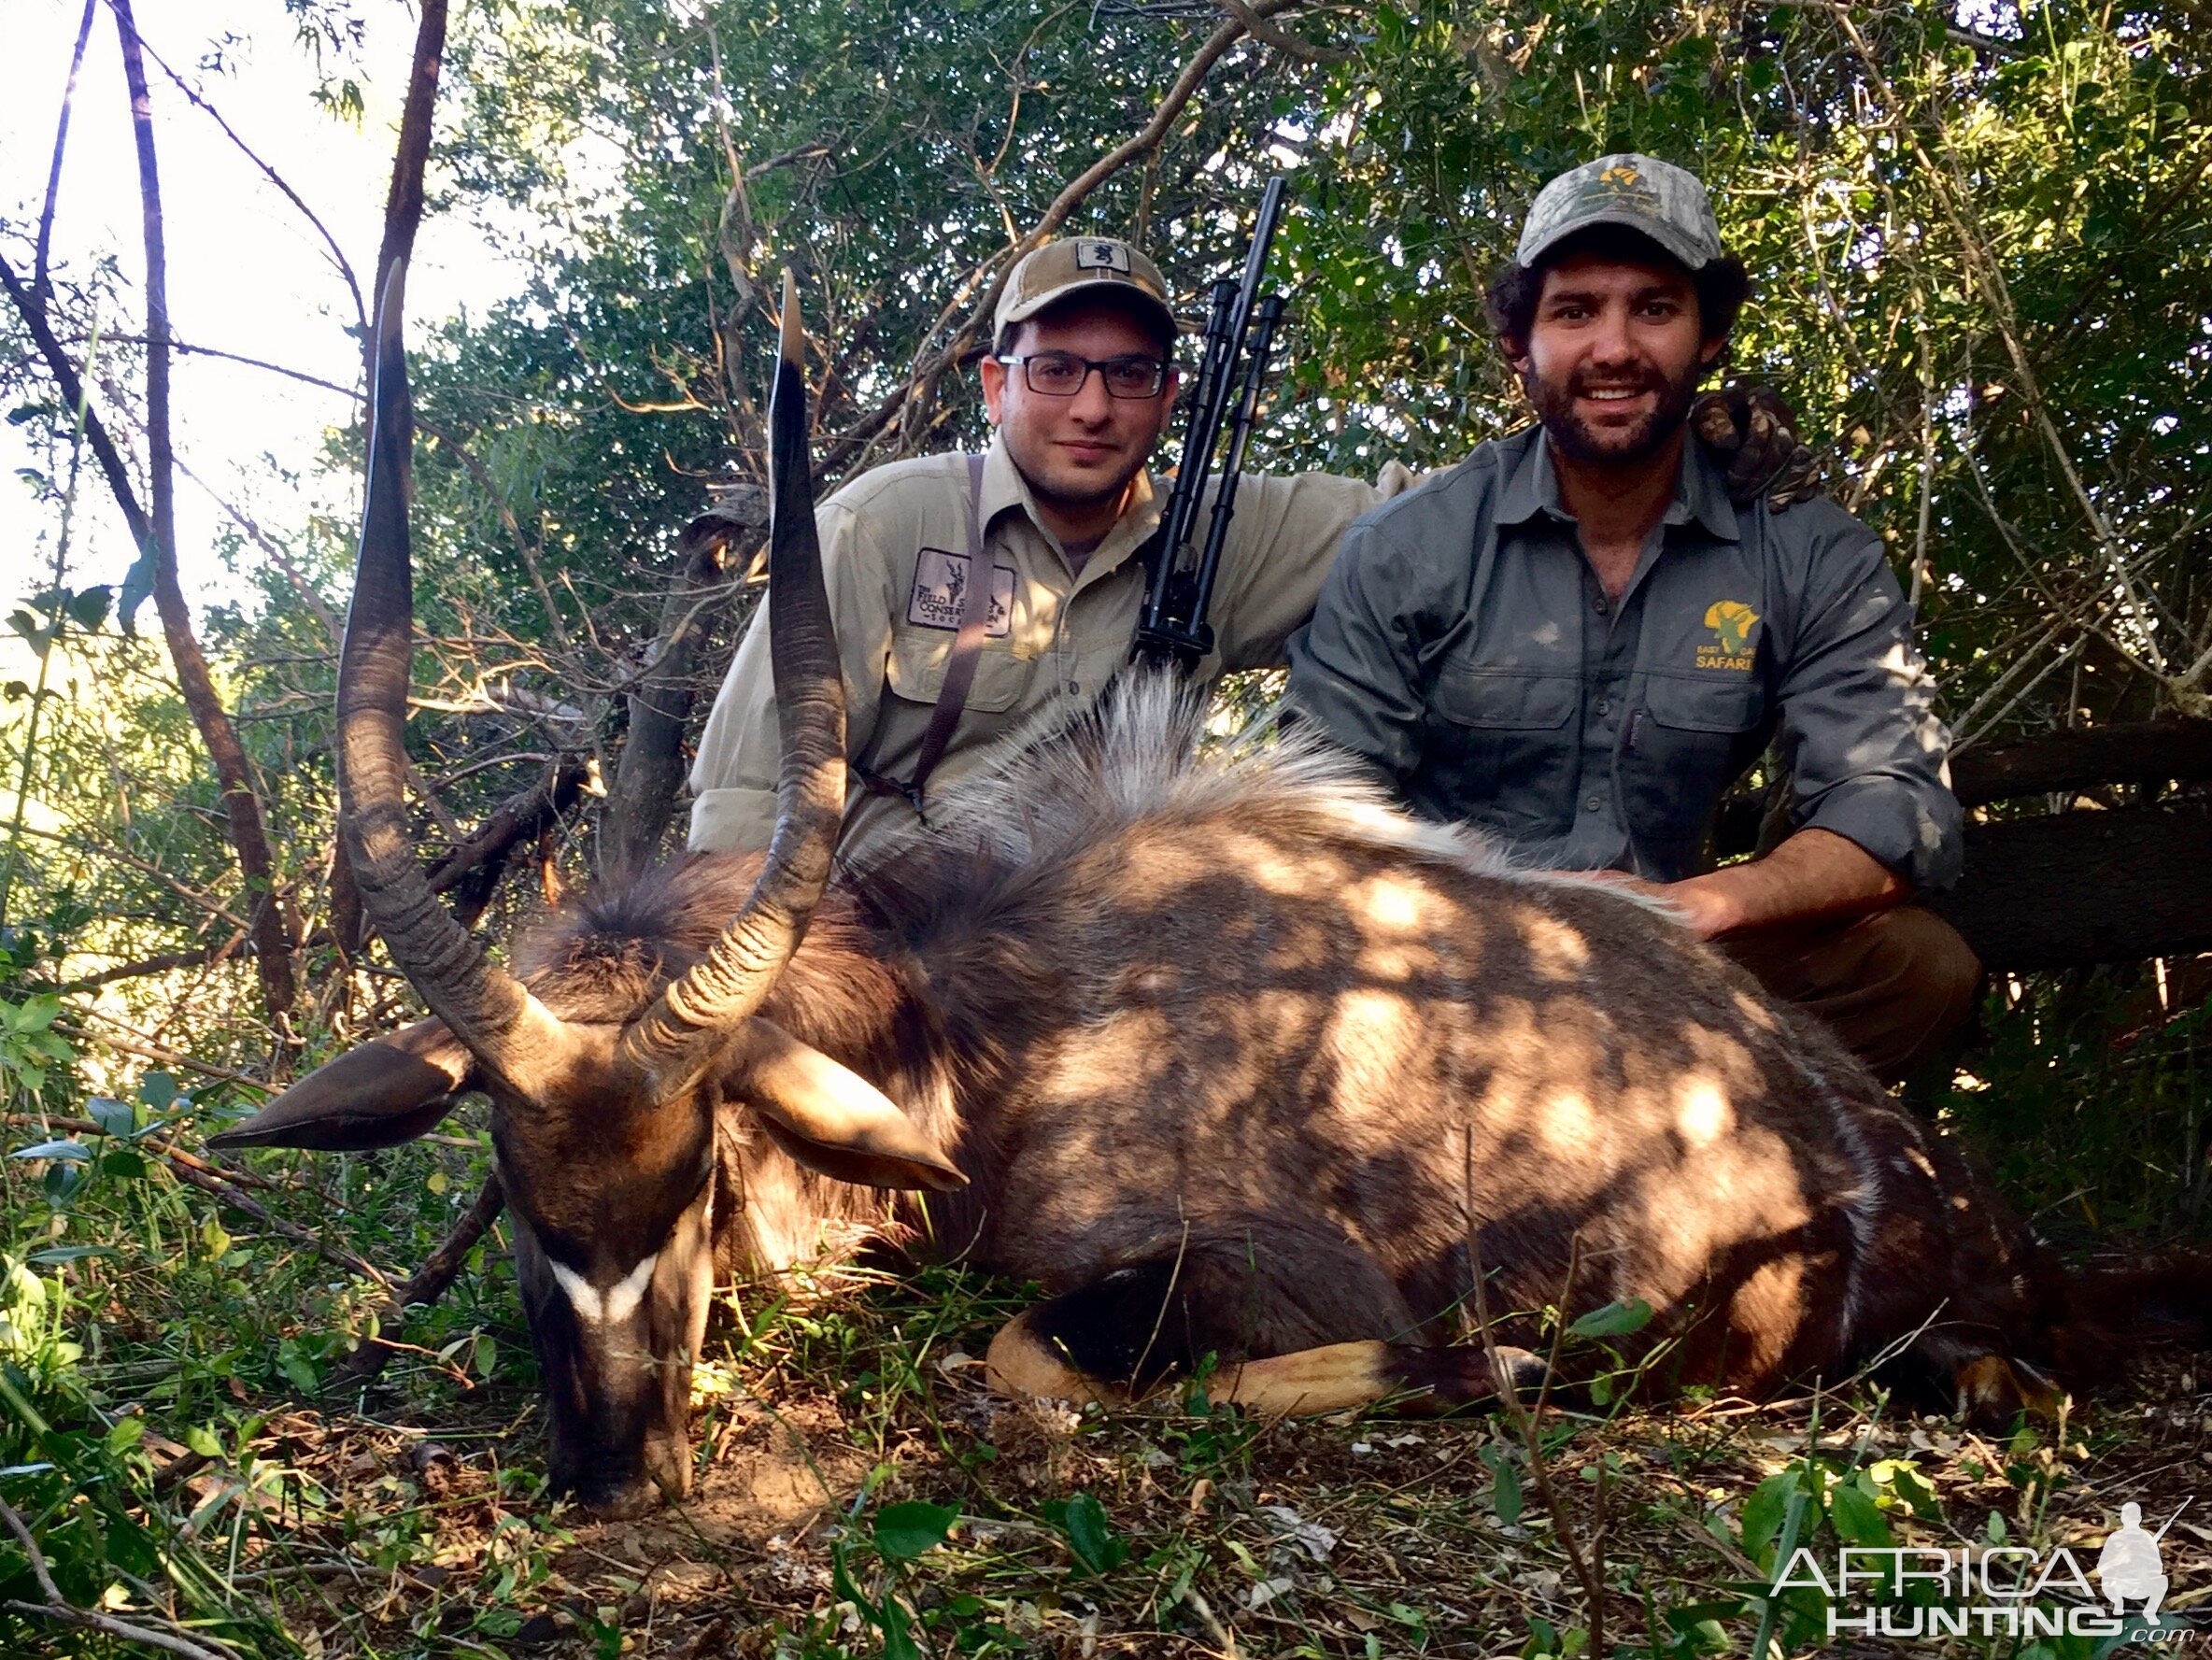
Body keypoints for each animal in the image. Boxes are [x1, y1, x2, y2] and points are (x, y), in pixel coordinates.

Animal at [220, 273, 2194, 1523]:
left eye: (695, 1164)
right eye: (504, 1172)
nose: (617, 1471)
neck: (992, 1021)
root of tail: (1958, 1197)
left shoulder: (1222, 1269)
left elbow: (1027, 1351)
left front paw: (1472, 1367)